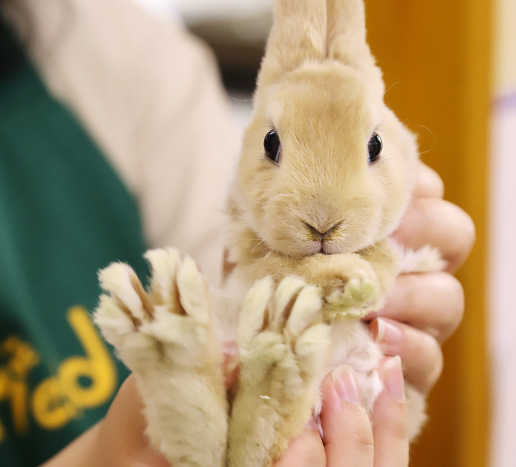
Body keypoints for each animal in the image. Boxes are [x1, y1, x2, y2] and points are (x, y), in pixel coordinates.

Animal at [92, 0, 444, 467]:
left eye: (376, 146)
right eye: (270, 142)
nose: (322, 224)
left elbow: (382, 261)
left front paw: (355, 286)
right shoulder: (251, 251)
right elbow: (282, 268)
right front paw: (347, 282)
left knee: (247, 442)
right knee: (227, 446)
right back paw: (178, 336)